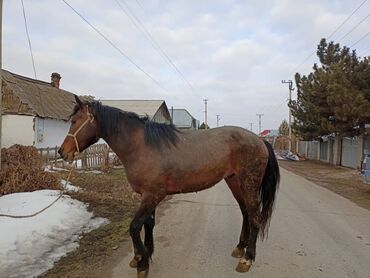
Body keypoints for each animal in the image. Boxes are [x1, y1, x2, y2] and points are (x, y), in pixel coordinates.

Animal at [60, 96, 280, 278]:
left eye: (74, 121)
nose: (63, 152)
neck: (142, 147)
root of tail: (260, 140)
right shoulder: (148, 196)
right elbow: (148, 224)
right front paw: (146, 254)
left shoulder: (152, 195)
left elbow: (134, 227)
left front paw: (142, 263)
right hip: (234, 181)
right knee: (245, 212)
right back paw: (240, 248)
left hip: (248, 183)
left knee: (254, 216)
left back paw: (247, 258)